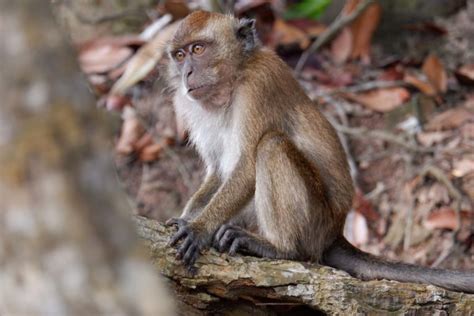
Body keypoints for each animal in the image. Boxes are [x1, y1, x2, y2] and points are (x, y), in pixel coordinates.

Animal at [165, 11, 472, 292]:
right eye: (179, 55)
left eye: (198, 49)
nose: (186, 73)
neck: (234, 79)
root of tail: (334, 232)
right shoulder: (189, 104)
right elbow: (218, 172)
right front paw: (187, 219)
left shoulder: (259, 85)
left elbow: (247, 166)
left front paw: (199, 229)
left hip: (316, 222)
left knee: (271, 145)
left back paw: (279, 248)